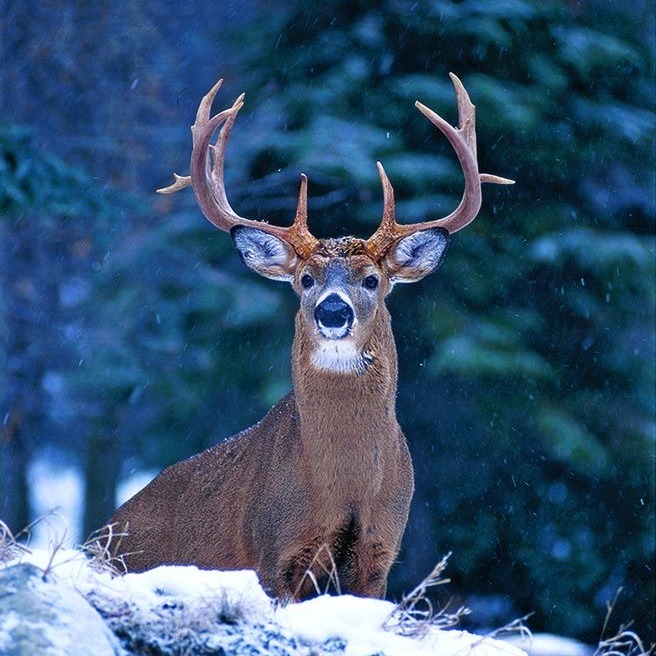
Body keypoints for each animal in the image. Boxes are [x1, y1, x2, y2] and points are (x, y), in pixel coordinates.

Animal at [105, 73, 513, 601]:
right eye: (304, 280)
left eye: (371, 280)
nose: (333, 311)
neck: (345, 487)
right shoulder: (273, 552)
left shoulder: (379, 555)